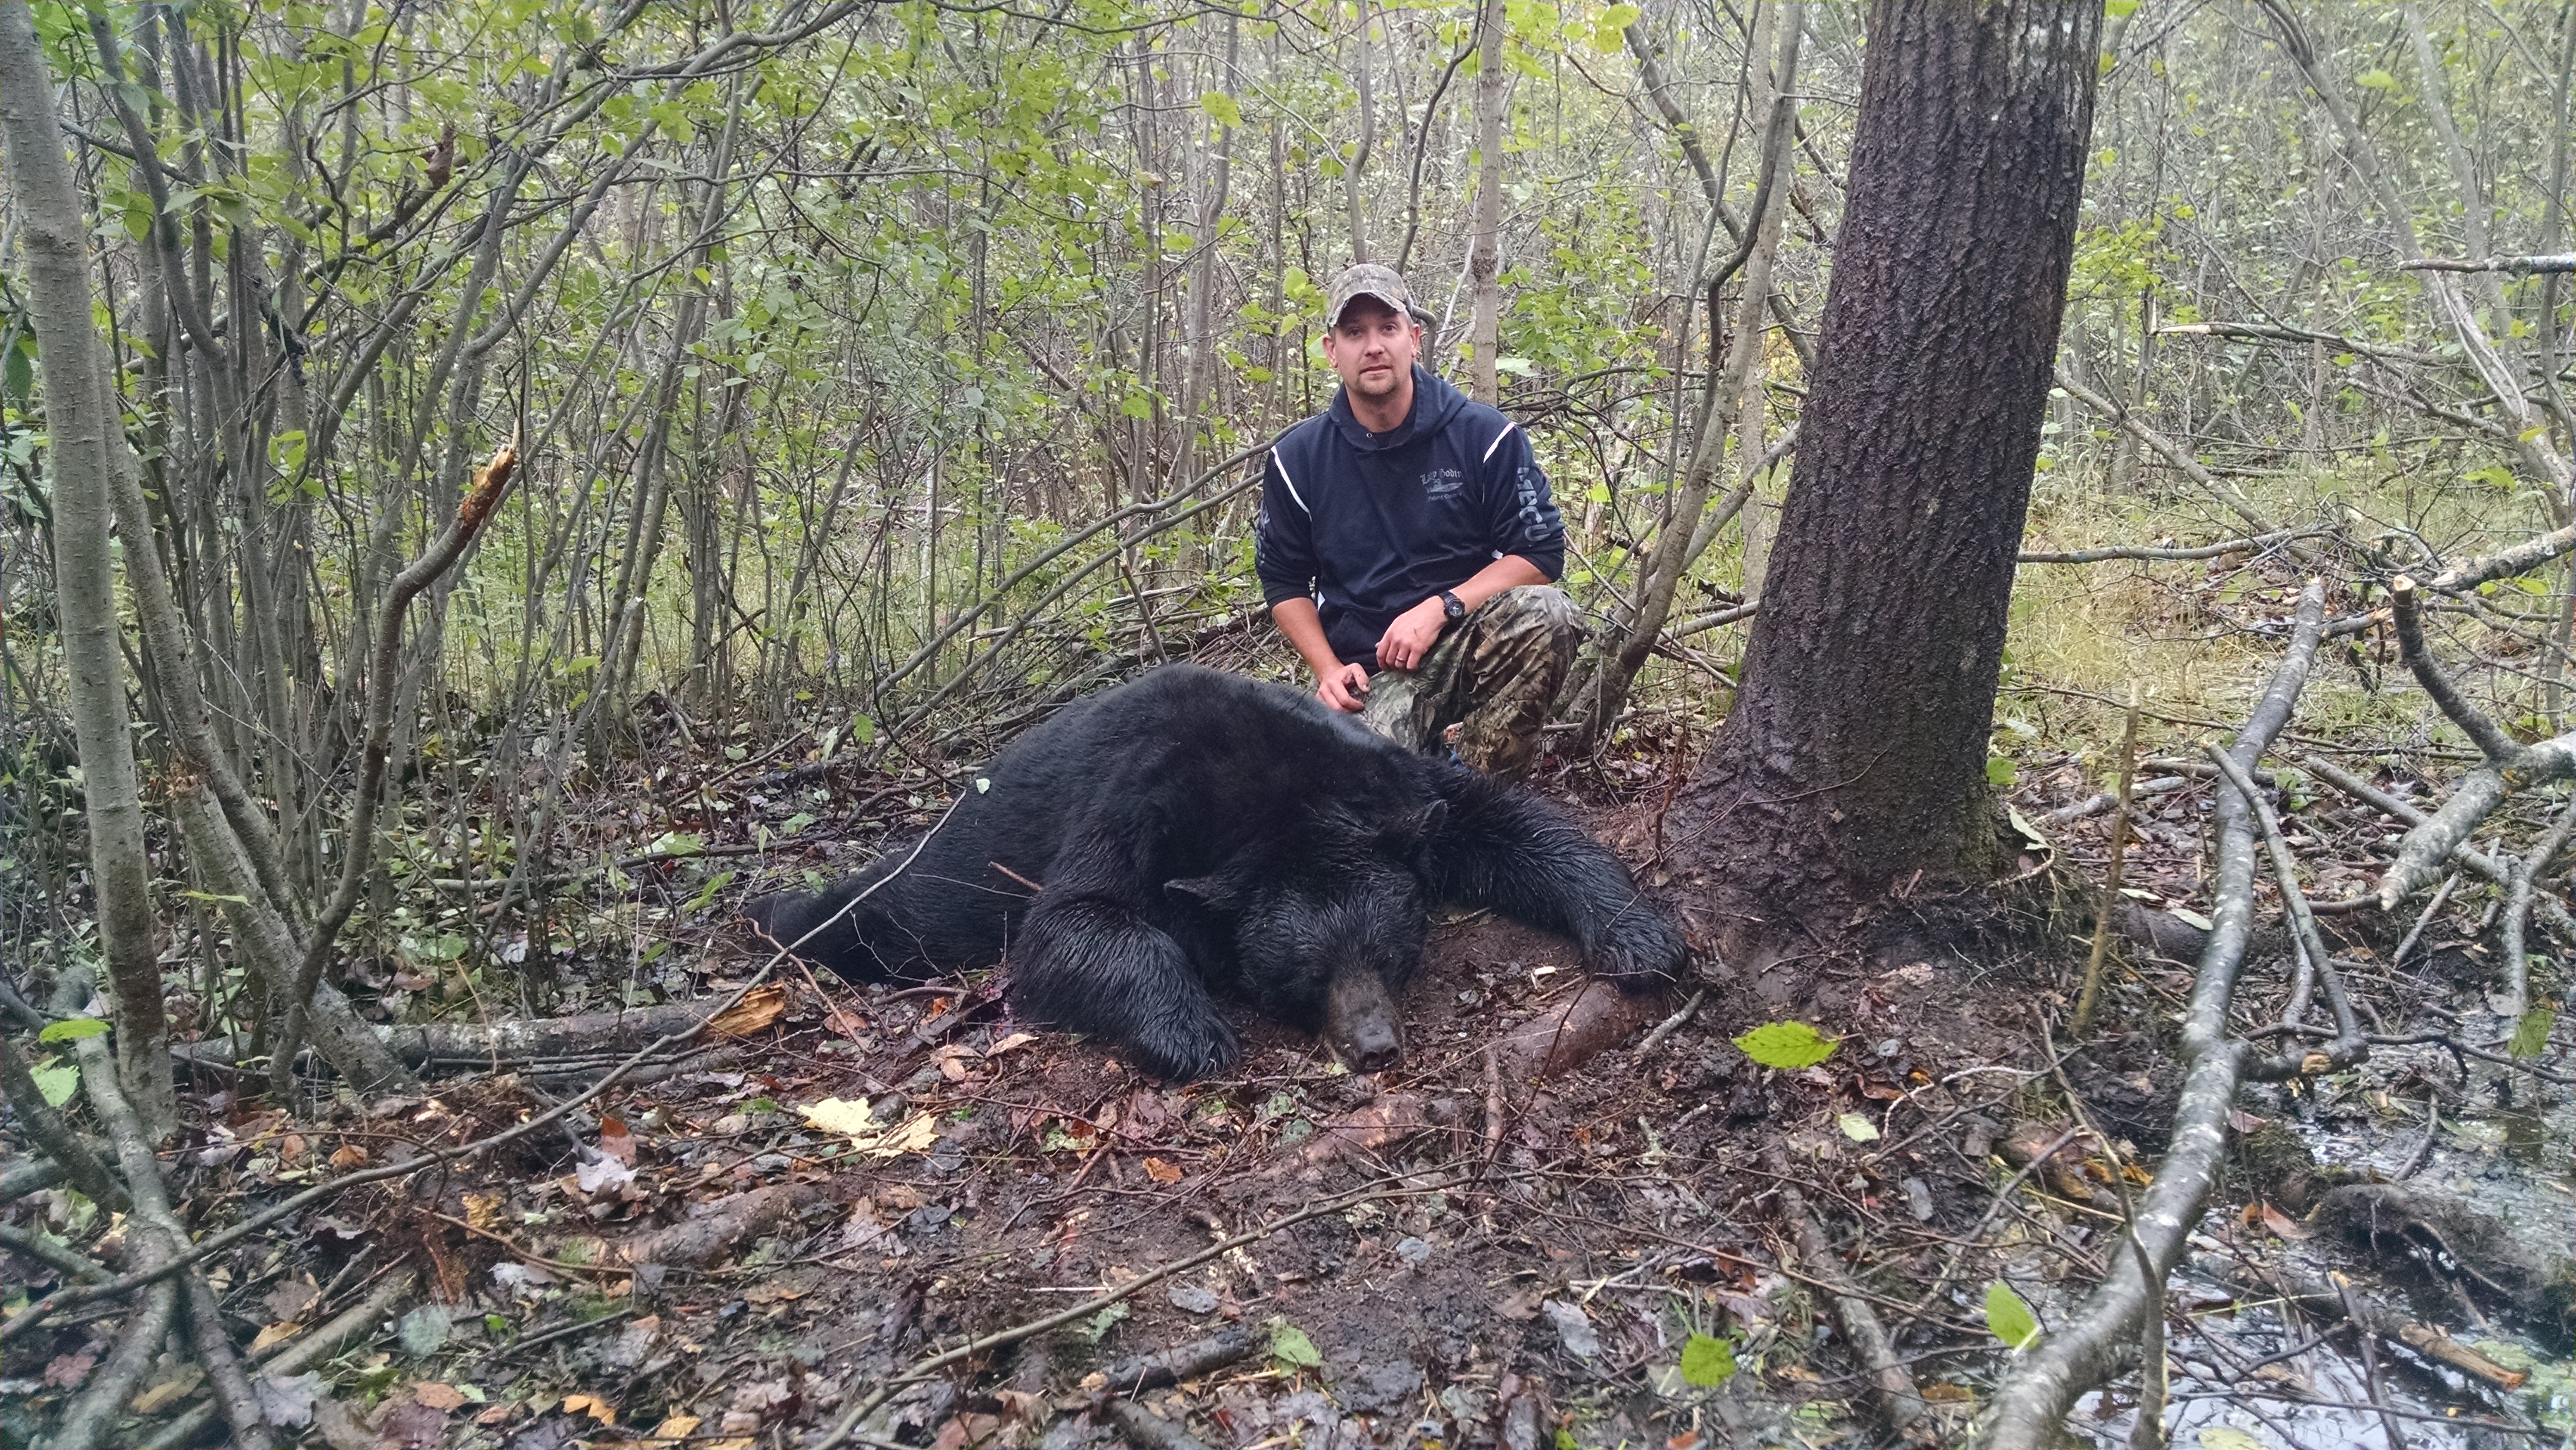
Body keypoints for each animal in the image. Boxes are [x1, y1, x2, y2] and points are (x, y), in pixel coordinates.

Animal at [744, 663, 1685, 1080]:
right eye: (1306, 972)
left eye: (1390, 951)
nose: (1375, 1046)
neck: (1280, 810)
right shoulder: (1136, 803)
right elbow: (1071, 921)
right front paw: (1193, 1029)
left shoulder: (1387, 787)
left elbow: (1504, 819)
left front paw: (1641, 934)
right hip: (959, 865)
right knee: (879, 912)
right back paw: (773, 916)